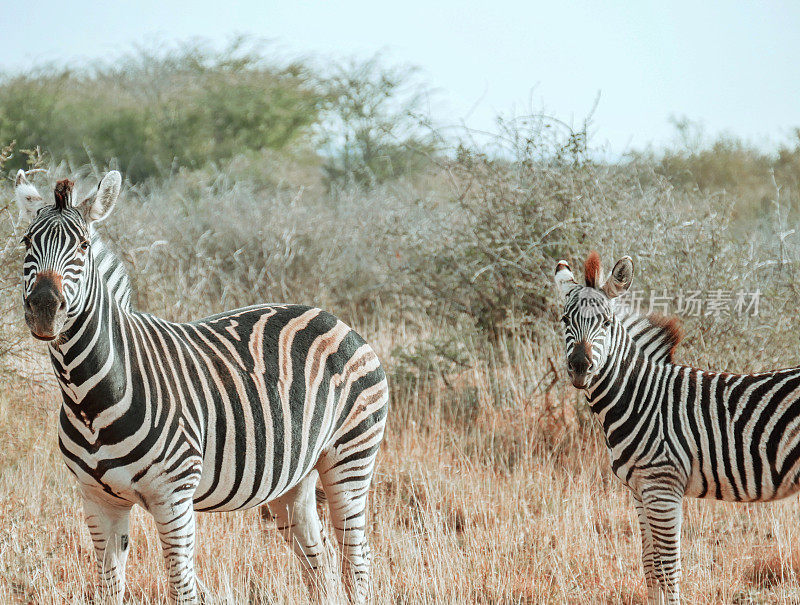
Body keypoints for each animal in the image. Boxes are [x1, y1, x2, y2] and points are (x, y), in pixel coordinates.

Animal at [12, 171, 388, 604]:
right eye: (25, 242)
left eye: (84, 246)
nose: (44, 308)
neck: (89, 400)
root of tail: (333, 317)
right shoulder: (97, 499)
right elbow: (109, 587)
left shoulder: (174, 498)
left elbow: (182, 589)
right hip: (294, 480)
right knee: (320, 566)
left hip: (351, 459)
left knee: (356, 560)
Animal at [556, 248, 800, 600]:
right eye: (565, 320)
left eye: (606, 322)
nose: (579, 366)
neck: (641, 397)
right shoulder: (640, 490)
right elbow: (649, 566)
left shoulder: (663, 487)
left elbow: (669, 571)